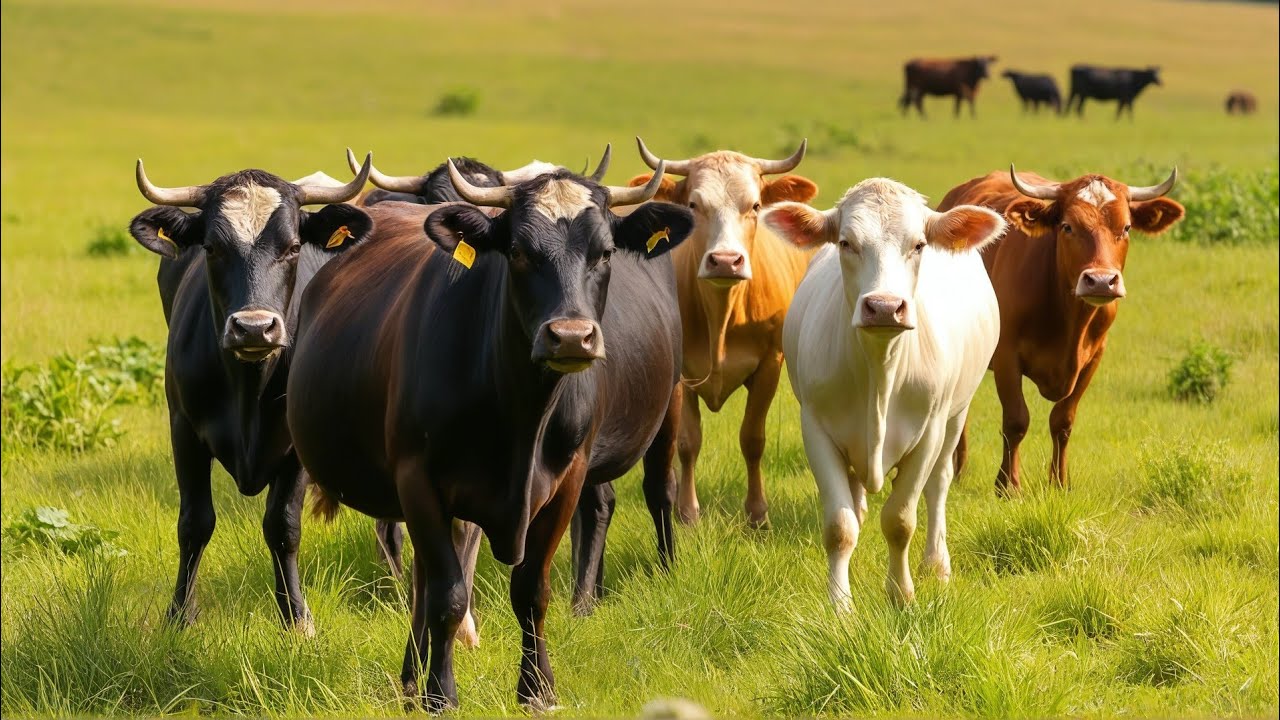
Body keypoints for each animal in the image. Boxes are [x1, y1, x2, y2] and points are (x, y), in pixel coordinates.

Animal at [126, 154, 375, 634]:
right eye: (211, 248)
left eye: (293, 247)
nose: (255, 328)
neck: (248, 388)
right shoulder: (183, 431)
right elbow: (194, 523)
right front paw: (179, 615)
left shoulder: (295, 447)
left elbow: (283, 526)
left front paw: (296, 616)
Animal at [287, 159, 693, 710]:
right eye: (519, 251)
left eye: (605, 252)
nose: (570, 336)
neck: (520, 417)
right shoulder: (419, 480)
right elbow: (448, 594)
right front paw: (441, 694)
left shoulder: (567, 479)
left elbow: (532, 589)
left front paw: (538, 689)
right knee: (426, 584)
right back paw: (414, 679)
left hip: (671, 400)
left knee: (658, 488)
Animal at [627, 138, 818, 528]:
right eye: (693, 205)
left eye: (755, 205)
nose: (726, 261)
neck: (722, 313)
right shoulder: (681, 373)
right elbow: (688, 441)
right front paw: (687, 513)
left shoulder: (770, 366)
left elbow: (752, 439)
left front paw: (757, 514)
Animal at [762, 178, 1006, 608]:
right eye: (845, 242)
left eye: (919, 244)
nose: (884, 306)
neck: (880, 372)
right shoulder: (816, 428)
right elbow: (839, 525)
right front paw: (840, 603)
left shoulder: (929, 431)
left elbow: (899, 519)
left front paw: (901, 594)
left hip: (956, 414)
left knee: (938, 485)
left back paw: (936, 564)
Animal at [938, 166, 1184, 492]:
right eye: (1067, 227)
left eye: (1127, 227)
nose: (1101, 281)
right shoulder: (1006, 357)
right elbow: (1016, 420)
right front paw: (1008, 485)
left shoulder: (1093, 359)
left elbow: (1062, 421)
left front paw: (1059, 482)